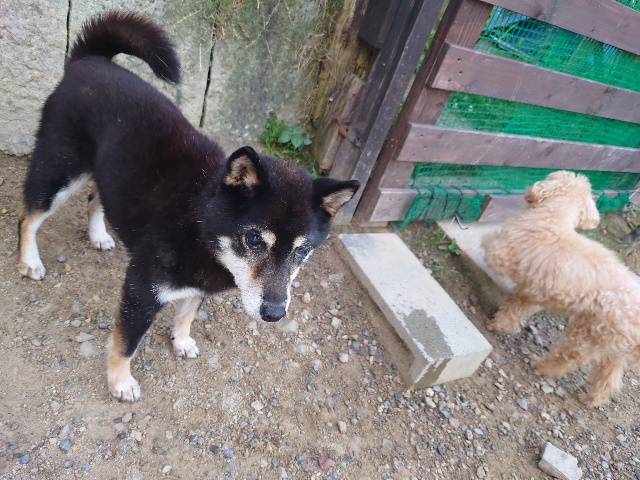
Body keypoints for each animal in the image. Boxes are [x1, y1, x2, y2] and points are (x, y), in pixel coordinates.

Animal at [18, 11, 359, 402]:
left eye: (302, 252)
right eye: (254, 240)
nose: (275, 313)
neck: (198, 222)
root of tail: (88, 61)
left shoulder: (200, 287)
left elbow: (186, 314)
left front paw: (180, 341)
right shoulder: (141, 290)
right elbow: (126, 343)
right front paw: (120, 382)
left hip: (104, 172)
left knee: (95, 198)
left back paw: (98, 235)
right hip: (59, 172)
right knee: (28, 216)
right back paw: (29, 261)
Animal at [483, 170, 640, 406]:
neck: (553, 218)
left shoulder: (502, 253)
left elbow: (488, 247)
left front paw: (495, 324)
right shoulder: (533, 293)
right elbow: (515, 310)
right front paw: (501, 324)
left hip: (585, 334)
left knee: (567, 358)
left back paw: (540, 365)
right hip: (612, 348)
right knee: (608, 378)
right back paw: (592, 399)